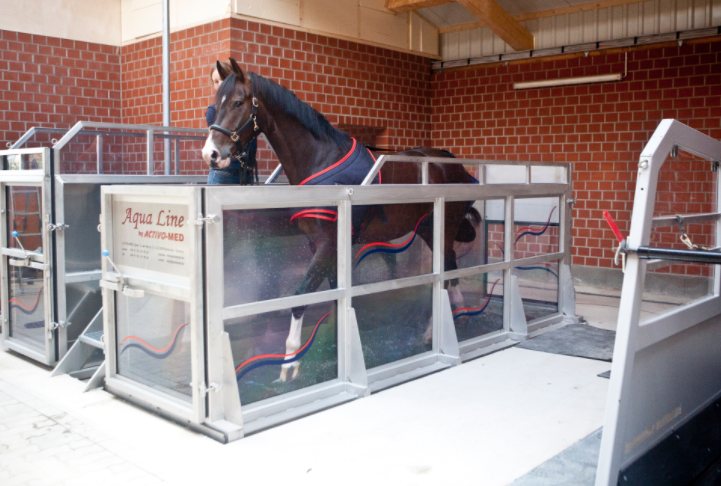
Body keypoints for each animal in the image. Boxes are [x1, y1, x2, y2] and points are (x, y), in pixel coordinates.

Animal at [202, 58, 480, 382]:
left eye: (237, 102)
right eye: (216, 103)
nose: (211, 153)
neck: (321, 159)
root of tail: (453, 163)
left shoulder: (328, 243)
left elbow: (301, 294)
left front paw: (289, 364)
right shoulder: (322, 246)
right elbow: (336, 294)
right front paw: (336, 352)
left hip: (443, 228)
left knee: (446, 272)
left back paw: (435, 331)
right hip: (428, 229)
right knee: (450, 270)